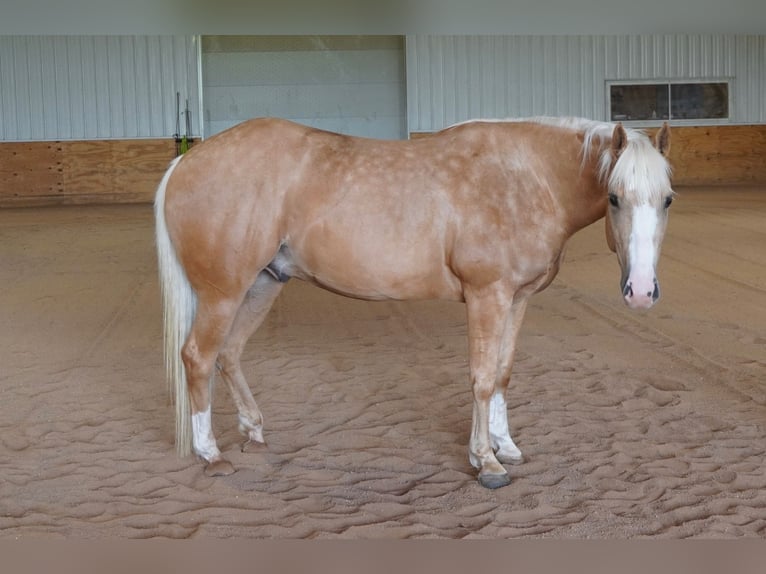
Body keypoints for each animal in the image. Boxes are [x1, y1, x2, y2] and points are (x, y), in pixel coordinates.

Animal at [155, 116, 672, 489]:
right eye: (614, 197)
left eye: (667, 199)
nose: (641, 291)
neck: (527, 177)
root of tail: (187, 162)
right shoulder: (487, 296)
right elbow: (482, 378)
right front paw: (486, 462)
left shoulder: (517, 299)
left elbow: (503, 374)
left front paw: (505, 445)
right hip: (223, 294)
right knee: (198, 357)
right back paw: (211, 454)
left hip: (263, 284)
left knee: (229, 354)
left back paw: (254, 432)